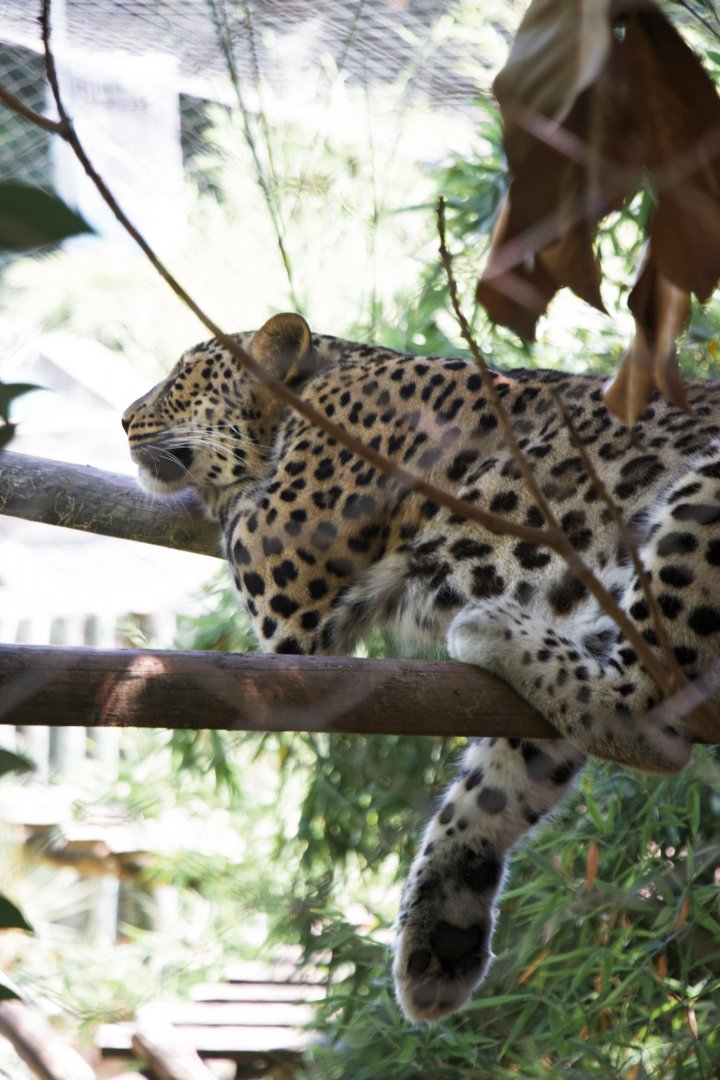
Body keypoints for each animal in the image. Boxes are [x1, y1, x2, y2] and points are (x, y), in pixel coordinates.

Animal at [123, 311, 720, 1023]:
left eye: (181, 378)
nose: (123, 420)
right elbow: (489, 791)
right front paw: (439, 937)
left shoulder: (280, 586)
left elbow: (233, 504)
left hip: (706, 494)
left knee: (651, 704)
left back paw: (493, 629)